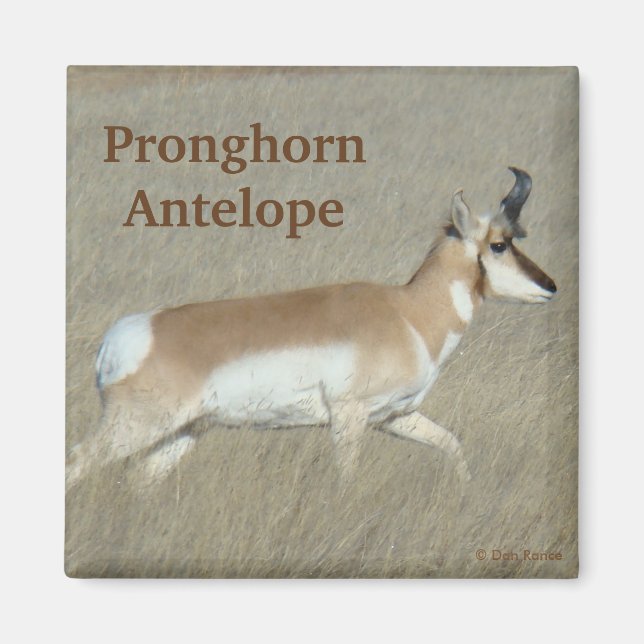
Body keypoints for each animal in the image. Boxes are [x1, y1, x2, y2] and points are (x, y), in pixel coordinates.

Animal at [66, 167, 557, 492]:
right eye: (499, 244)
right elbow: (348, 480)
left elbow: (452, 445)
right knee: (76, 463)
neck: (408, 312)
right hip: (137, 427)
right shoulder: (349, 418)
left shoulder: (396, 417)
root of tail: (120, 339)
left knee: (139, 481)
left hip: (180, 434)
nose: (550, 287)